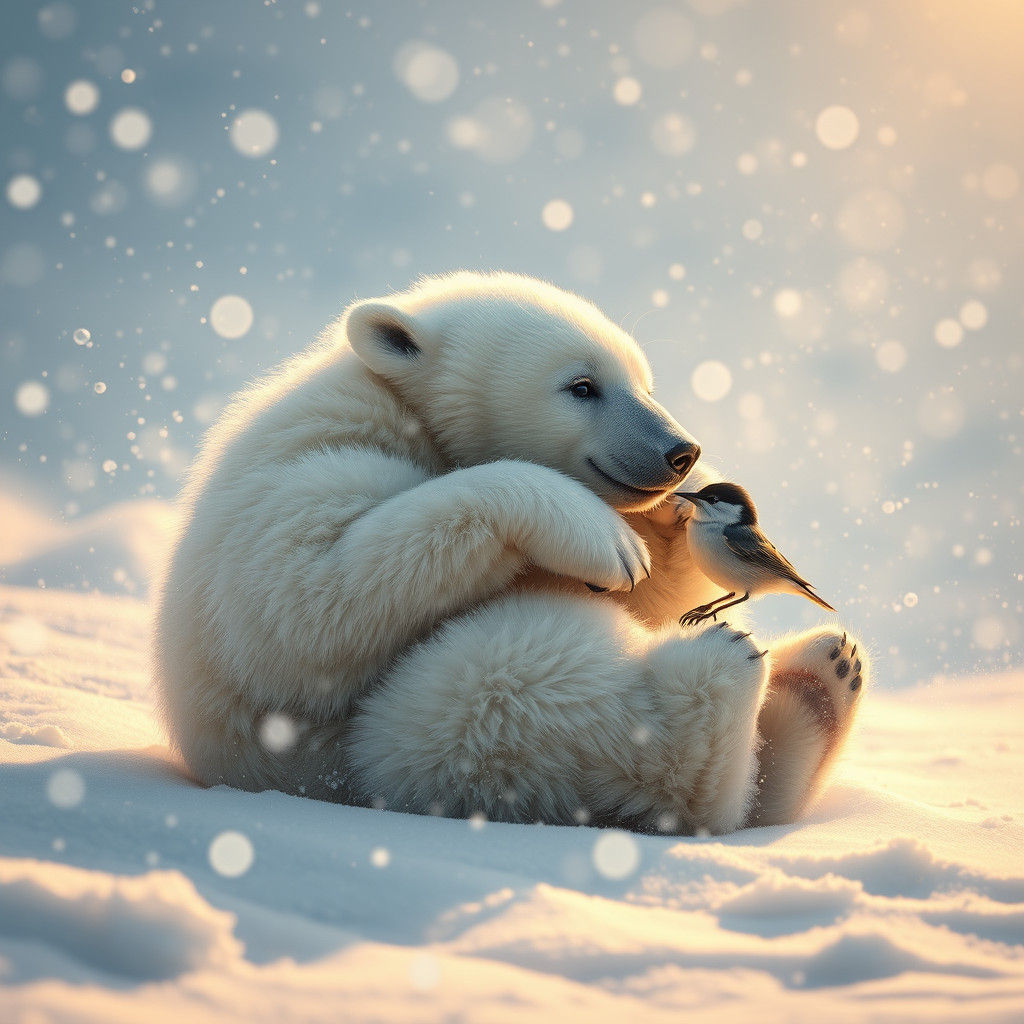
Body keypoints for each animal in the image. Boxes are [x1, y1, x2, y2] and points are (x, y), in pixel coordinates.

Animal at [154, 271, 868, 834]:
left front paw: (673, 527)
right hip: (362, 762)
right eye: (582, 386)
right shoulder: (324, 445)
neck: (412, 414)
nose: (681, 453)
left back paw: (825, 678)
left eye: (644, 380)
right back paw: (733, 676)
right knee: (498, 689)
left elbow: (649, 597)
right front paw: (607, 541)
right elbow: (300, 601)